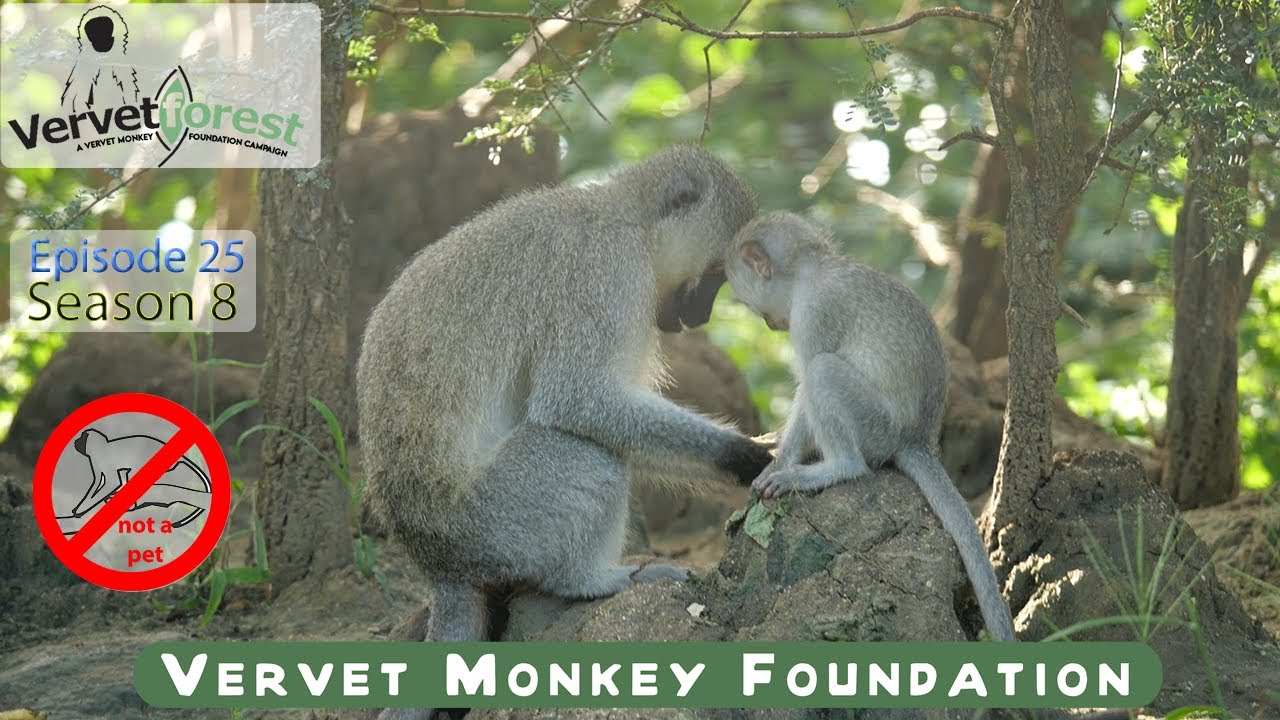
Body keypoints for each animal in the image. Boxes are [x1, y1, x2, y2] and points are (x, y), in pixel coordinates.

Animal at [357, 146, 773, 720]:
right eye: (713, 276)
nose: (699, 316)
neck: (625, 217)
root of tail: (439, 564)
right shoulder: (608, 273)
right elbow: (578, 401)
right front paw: (746, 455)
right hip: (496, 520)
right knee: (586, 458)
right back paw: (590, 580)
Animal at [723, 210, 1017, 643]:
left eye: (750, 304)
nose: (772, 323)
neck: (813, 268)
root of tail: (917, 438)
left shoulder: (813, 314)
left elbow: (807, 384)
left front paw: (780, 464)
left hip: (877, 426)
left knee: (824, 373)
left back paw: (834, 469)